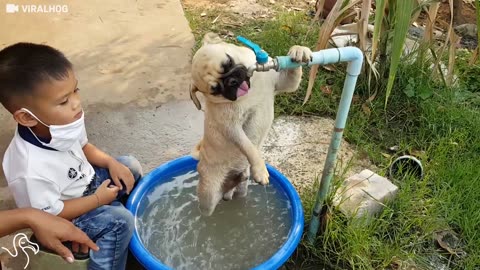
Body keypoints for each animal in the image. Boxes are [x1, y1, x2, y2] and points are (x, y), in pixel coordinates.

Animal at [190, 33, 312, 215]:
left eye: (229, 62)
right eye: (215, 89)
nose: (231, 81)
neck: (249, 93)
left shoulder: (282, 82)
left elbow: (292, 74)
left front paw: (299, 50)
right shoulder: (233, 128)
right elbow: (249, 148)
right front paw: (260, 169)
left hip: (241, 191)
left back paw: (237, 180)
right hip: (209, 194)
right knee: (207, 208)